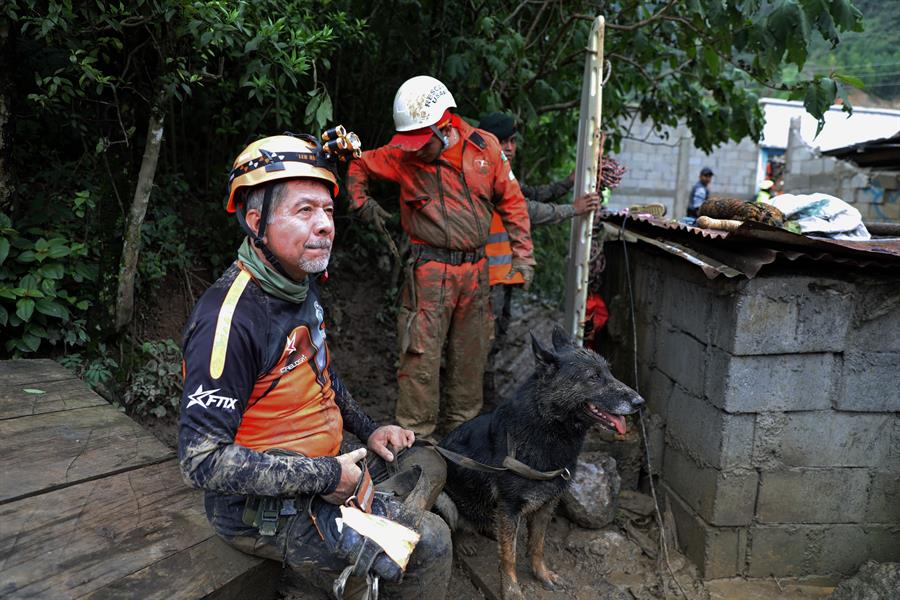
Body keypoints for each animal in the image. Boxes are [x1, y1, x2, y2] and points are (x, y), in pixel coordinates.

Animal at [440, 328, 644, 600]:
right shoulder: (509, 507)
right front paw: (512, 591)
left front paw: (541, 574)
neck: (548, 429)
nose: (640, 402)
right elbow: (509, 556)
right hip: (445, 498)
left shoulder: (547, 505)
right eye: (593, 377)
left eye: (609, 372)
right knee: (456, 526)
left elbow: (537, 545)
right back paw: (466, 541)